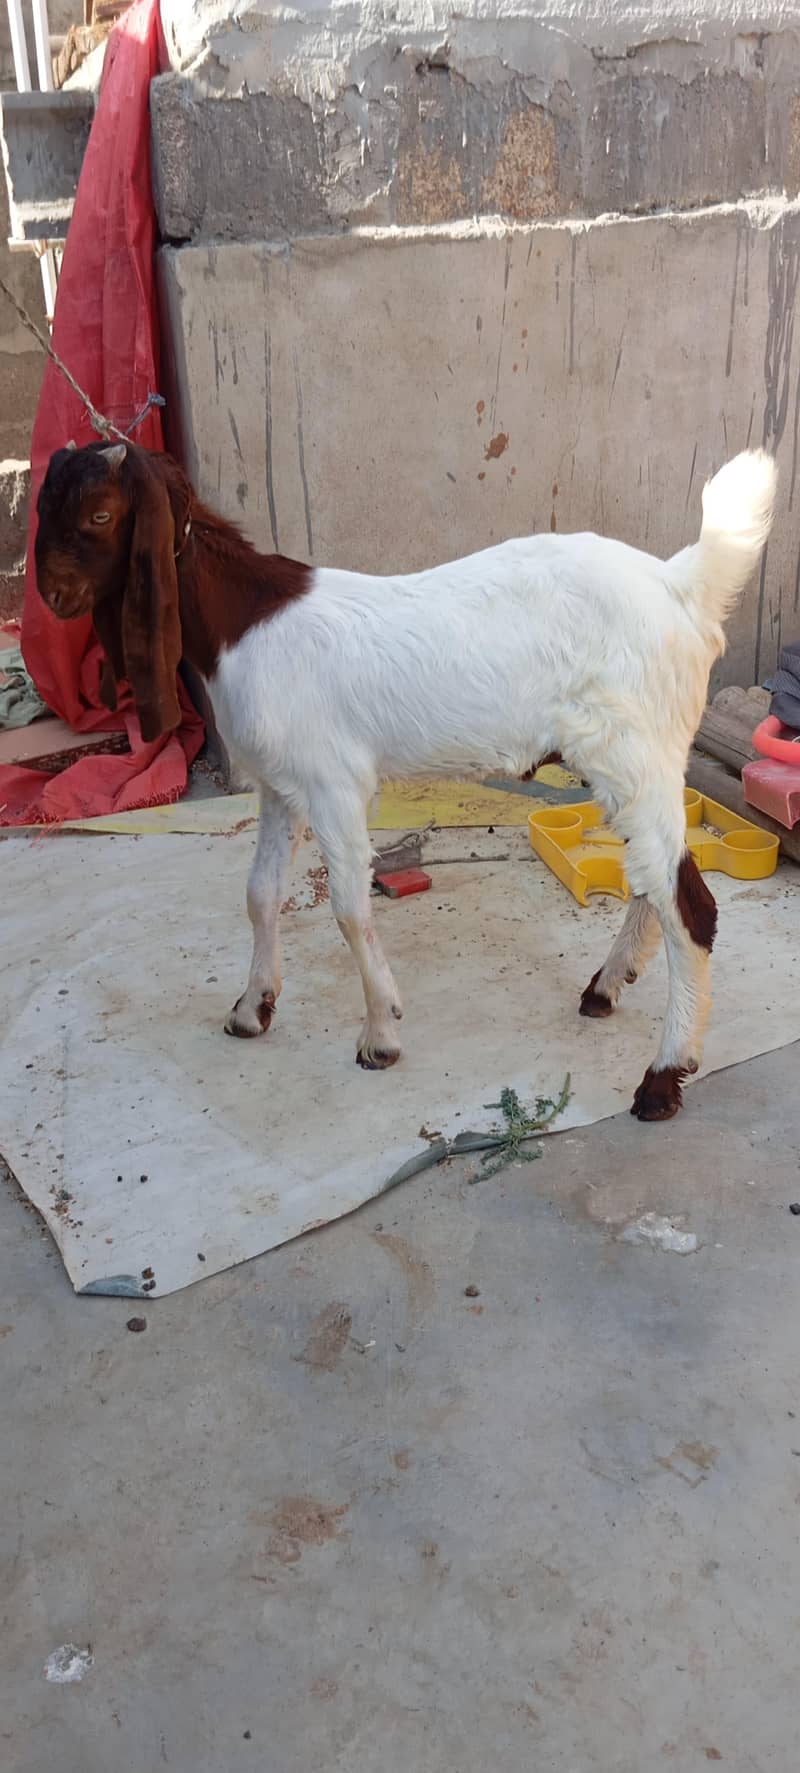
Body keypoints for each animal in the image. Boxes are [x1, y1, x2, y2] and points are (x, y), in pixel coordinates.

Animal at [35, 439, 776, 1120]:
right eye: (46, 507)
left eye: (101, 513)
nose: (53, 595)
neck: (243, 621)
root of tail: (681, 586)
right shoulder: (281, 786)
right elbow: (260, 893)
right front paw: (252, 1007)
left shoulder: (333, 785)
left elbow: (348, 907)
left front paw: (379, 1036)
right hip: (634, 761)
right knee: (654, 880)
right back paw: (608, 986)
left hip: (631, 749)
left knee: (690, 905)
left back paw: (662, 1077)